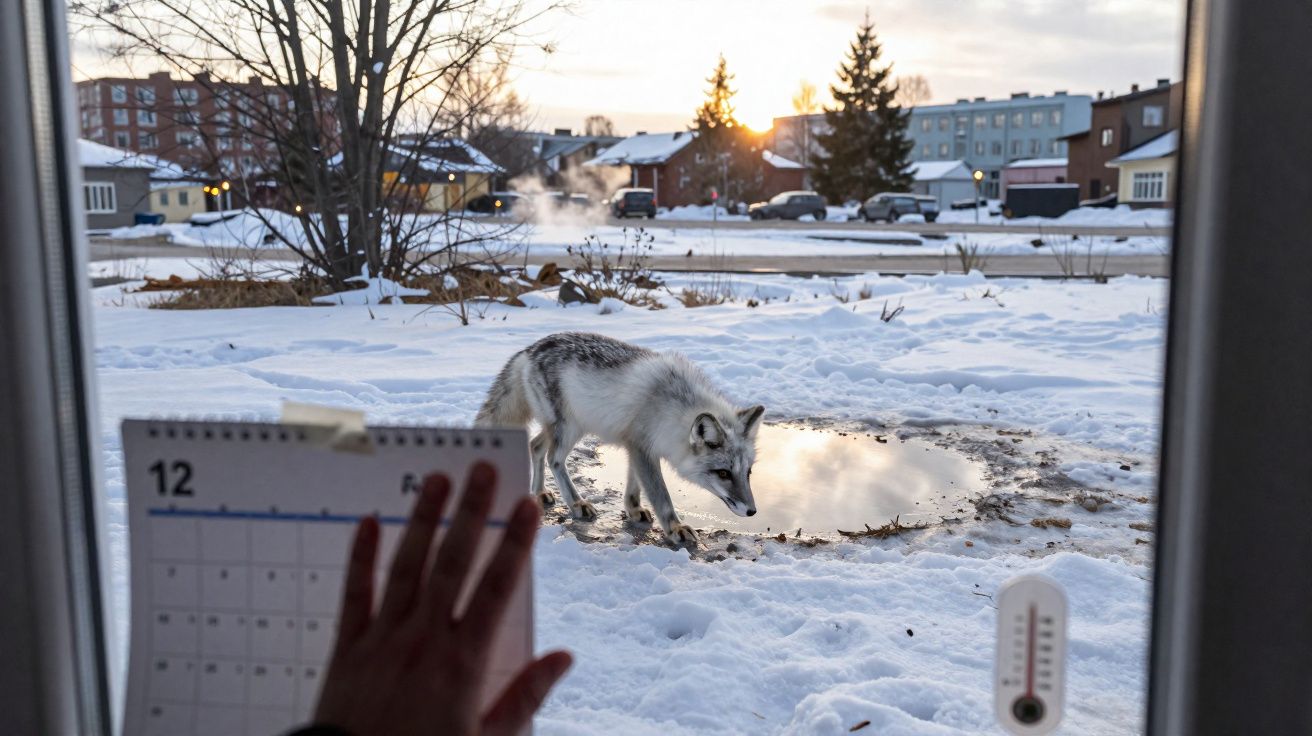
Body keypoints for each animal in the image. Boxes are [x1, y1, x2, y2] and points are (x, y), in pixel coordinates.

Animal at [476, 332, 765, 545]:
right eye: (723, 473)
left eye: (748, 472)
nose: (752, 511)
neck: (672, 406)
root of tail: (531, 348)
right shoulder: (642, 447)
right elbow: (661, 496)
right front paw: (675, 528)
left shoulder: (638, 446)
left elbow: (634, 485)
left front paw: (634, 510)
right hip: (569, 429)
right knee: (553, 459)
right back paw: (577, 503)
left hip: (568, 428)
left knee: (535, 446)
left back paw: (540, 493)